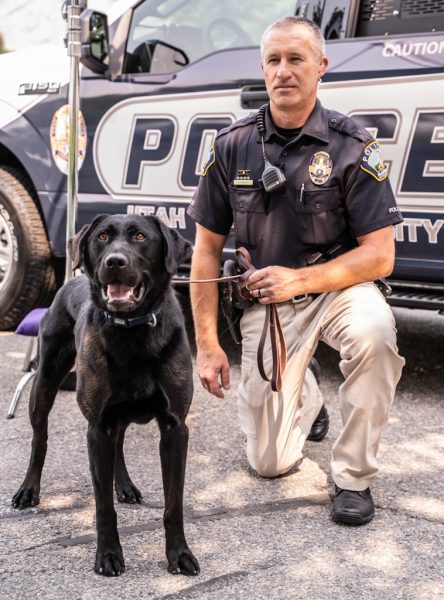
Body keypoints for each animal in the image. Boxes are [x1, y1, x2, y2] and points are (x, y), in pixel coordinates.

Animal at [11, 214, 199, 576]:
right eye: (101, 238)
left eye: (140, 237)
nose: (114, 262)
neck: (132, 331)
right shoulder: (97, 427)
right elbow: (103, 507)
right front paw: (109, 555)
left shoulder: (175, 428)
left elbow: (174, 503)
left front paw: (180, 554)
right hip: (44, 381)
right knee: (39, 439)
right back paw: (28, 490)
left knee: (120, 442)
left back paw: (123, 485)